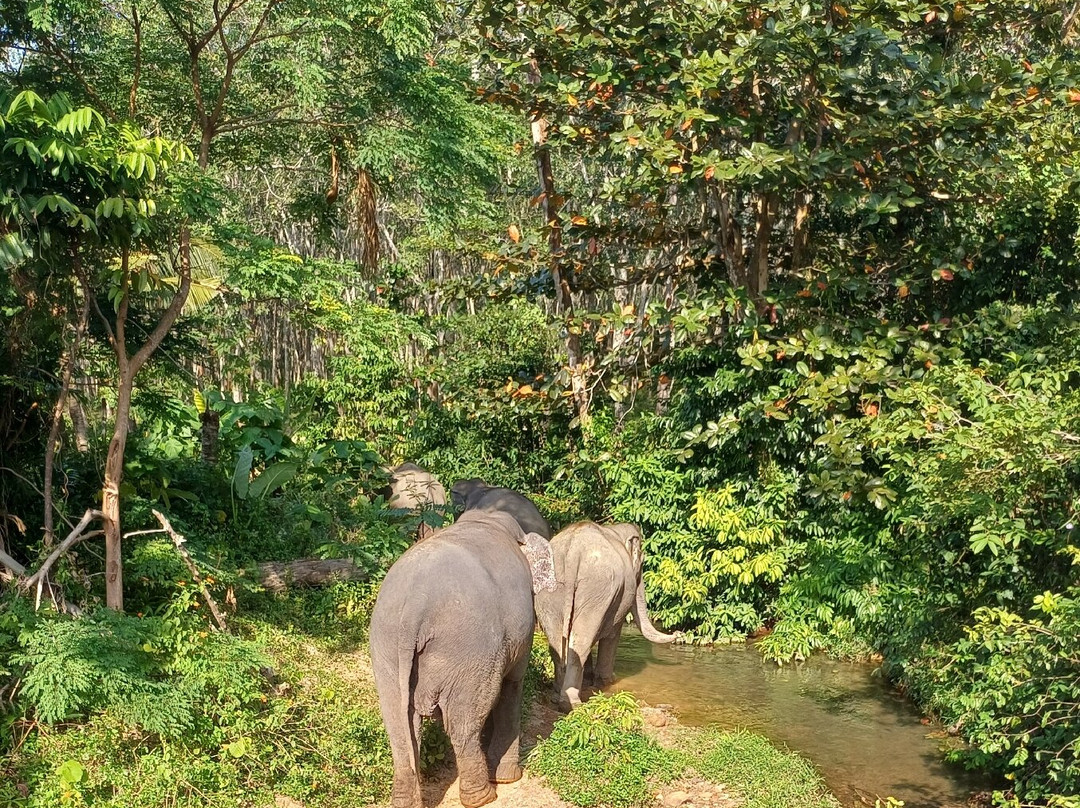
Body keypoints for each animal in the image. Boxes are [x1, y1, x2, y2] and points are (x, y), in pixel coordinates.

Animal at [369, 509, 556, 808]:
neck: (486, 519)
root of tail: (415, 605)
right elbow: (513, 684)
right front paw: (509, 779)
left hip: (385, 645)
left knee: (397, 723)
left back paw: (405, 802)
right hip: (469, 648)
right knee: (464, 721)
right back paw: (482, 796)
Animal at [534, 521, 680, 710]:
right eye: (642, 563)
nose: (678, 633)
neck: (615, 529)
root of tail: (573, 551)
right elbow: (613, 634)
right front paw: (608, 681)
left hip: (548, 592)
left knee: (558, 643)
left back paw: (557, 695)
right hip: (596, 591)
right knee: (581, 642)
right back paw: (572, 704)